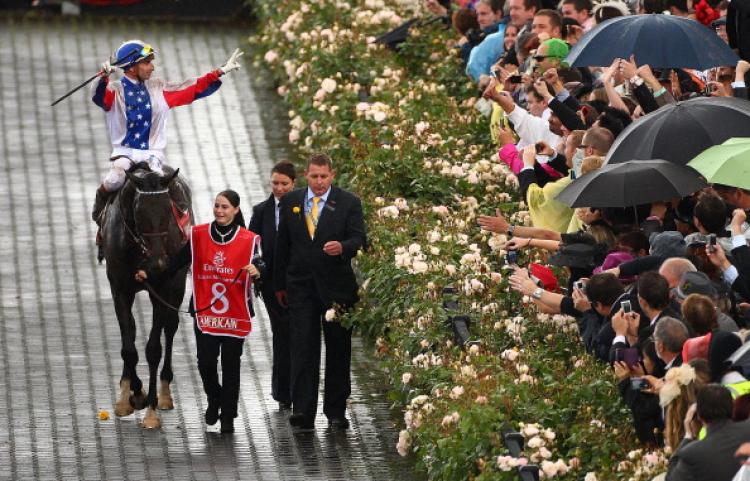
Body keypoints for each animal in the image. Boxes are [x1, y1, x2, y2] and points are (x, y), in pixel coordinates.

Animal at [101, 164, 192, 428]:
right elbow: (128, 347)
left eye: (168, 211)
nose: (158, 263)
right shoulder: (119, 289)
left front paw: (150, 409)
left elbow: (153, 348)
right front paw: (134, 395)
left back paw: (164, 392)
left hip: (177, 283)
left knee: (170, 326)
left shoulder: (162, 286)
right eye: (139, 213)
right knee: (130, 330)